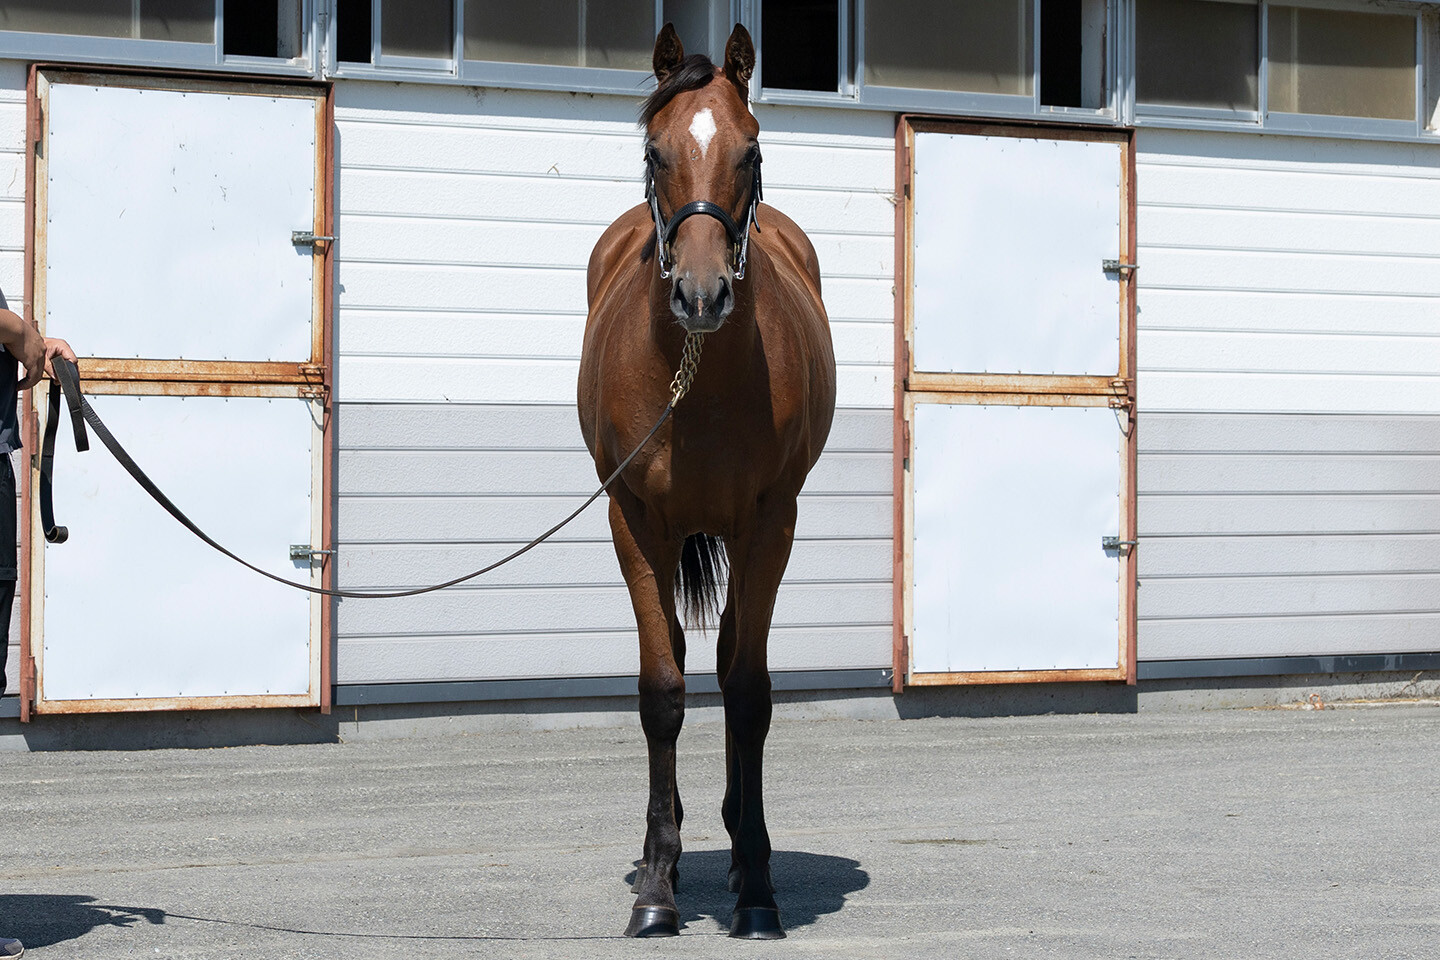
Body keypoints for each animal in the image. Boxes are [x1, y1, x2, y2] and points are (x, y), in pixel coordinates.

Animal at [576, 22, 836, 941]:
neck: (695, 375)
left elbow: (748, 691)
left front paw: (756, 885)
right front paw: (657, 887)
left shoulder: (770, 522)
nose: (701, 294)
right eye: (655, 153)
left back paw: (733, 845)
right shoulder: (632, 521)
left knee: (727, 662)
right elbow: (662, 691)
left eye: (749, 151)